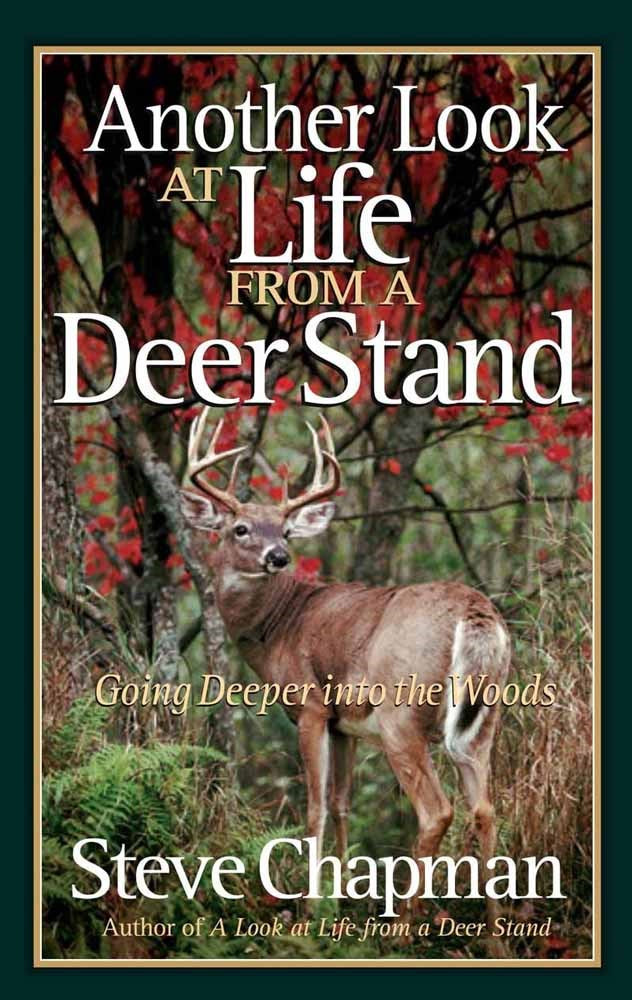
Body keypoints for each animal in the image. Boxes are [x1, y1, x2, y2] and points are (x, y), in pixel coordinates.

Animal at [181, 408, 511, 934]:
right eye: (241, 528)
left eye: (286, 531)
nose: (279, 556)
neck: (279, 626)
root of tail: (475, 613)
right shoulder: (346, 725)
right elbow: (341, 803)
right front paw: (343, 900)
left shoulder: (312, 707)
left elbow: (314, 808)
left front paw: (309, 908)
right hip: (485, 718)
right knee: (485, 808)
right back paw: (496, 932)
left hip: (402, 713)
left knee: (437, 811)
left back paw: (403, 927)